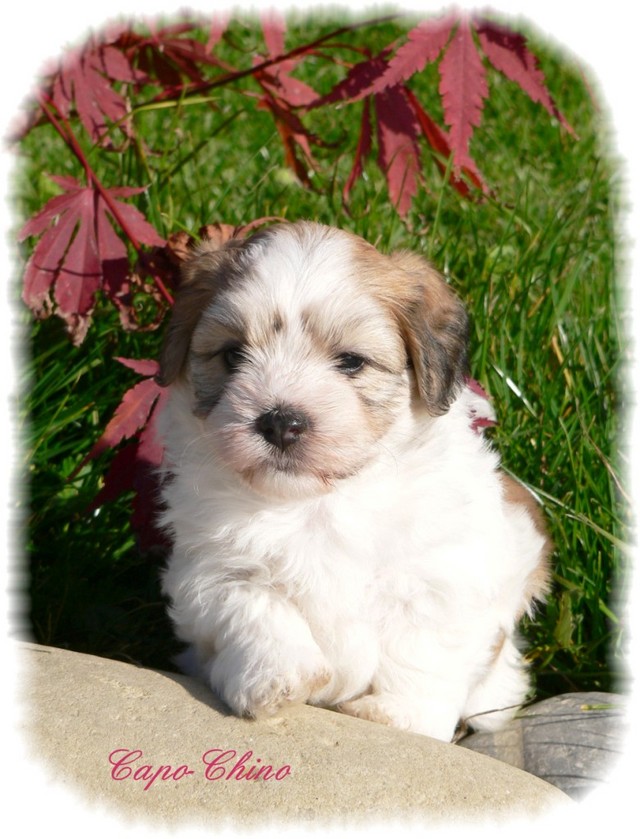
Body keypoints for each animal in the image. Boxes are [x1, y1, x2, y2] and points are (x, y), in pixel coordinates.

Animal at [156, 221, 552, 743]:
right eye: (232, 354)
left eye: (351, 362)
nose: (281, 422)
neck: (319, 502)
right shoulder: (209, 570)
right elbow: (255, 608)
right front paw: (276, 680)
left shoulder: (440, 577)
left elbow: (421, 650)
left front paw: (398, 715)